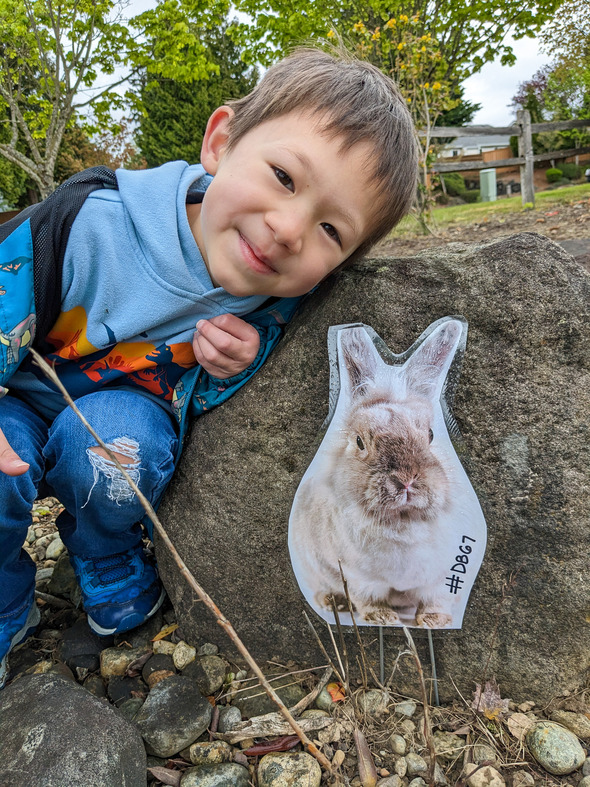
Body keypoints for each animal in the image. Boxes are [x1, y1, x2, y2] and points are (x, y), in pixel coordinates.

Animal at [289, 318, 484, 629]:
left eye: (431, 435)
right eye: (360, 442)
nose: (406, 480)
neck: (404, 521)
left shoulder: (442, 577)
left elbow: (436, 599)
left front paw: (433, 621)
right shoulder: (359, 577)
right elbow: (369, 597)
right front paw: (382, 618)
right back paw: (335, 602)